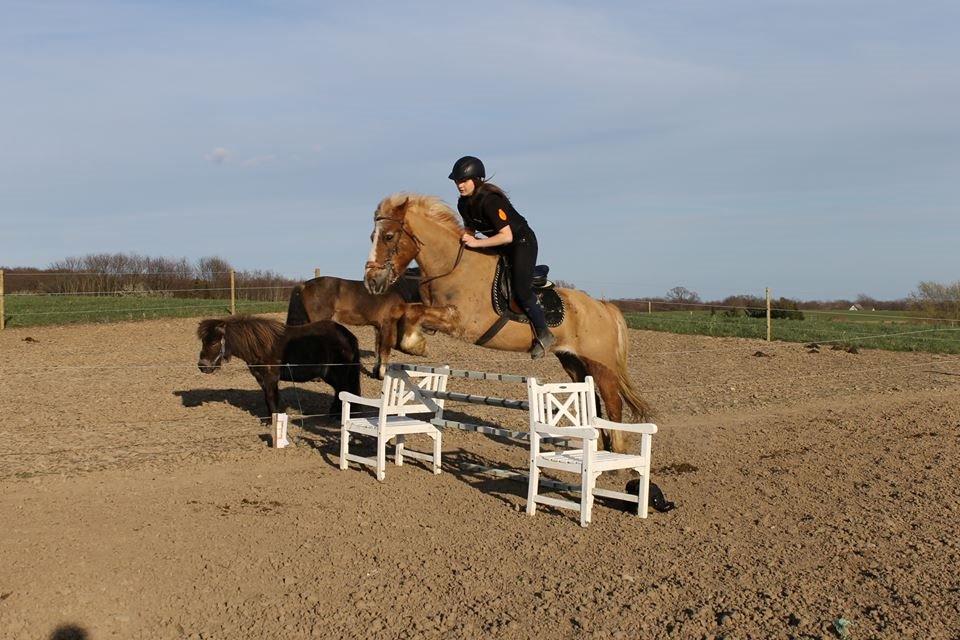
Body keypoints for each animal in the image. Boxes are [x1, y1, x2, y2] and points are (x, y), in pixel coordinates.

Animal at [197, 314, 362, 416]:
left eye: (214, 342)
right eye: (203, 341)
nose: (202, 366)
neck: (261, 346)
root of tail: (346, 334)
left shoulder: (271, 377)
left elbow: (271, 396)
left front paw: (274, 420)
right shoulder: (261, 378)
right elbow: (268, 397)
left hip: (337, 373)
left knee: (343, 390)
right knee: (339, 390)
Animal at [284, 276, 440, 380]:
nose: (433, 329)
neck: (397, 290)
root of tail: (304, 285)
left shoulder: (378, 327)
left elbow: (378, 350)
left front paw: (375, 373)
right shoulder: (387, 325)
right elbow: (385, 350)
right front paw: (382, 375)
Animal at [362, 192, 652, 452]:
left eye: (389, 236)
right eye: (372, 237)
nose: (372, 282)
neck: (452, 267)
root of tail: (602, 306)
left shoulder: (460, 322)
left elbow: (413, 315)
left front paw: (415, 345)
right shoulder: (433, 313)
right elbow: (405, 311)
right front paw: (406, 344)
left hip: (600, 363)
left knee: (613, 404)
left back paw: (616, 455)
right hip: (573, 361)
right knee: (594, 401)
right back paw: (602, 448)